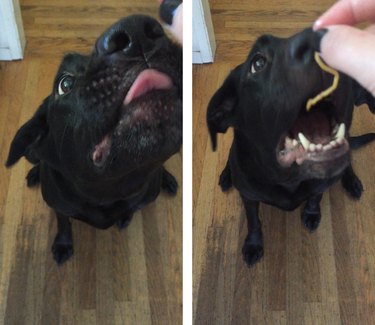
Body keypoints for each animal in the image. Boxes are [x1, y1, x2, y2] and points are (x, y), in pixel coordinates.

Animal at [5, 14, 182, 264]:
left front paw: (126, 216)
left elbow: (132, 208)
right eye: (65, 84)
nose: (136, 29)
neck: (108, 192)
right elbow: (63, 222)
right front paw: (63, 244)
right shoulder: (60, 206)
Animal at [209, 28, 375, 266]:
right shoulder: (249, 197)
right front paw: (253, 244)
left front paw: (312, 213)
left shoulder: (320, 185)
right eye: (257, 63)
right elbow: (253, 220)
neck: (289, 177)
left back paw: (351, 180)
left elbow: (315, 197)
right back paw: (226, 175)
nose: (315, 39)